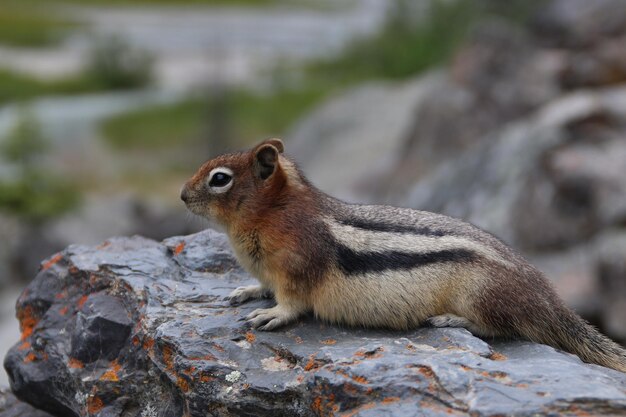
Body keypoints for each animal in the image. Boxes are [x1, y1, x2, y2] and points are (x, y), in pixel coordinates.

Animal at [179, 138, 624, 372]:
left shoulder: (297, 266)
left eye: (220, 179)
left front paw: (270, 314)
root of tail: (548, 298)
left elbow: (292, 303)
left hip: (483, 293)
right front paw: (247, 291)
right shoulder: (270, 269)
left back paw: (451, 319)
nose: (182, 195)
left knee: (502, 327)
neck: (277, 212)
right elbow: (261, 284)